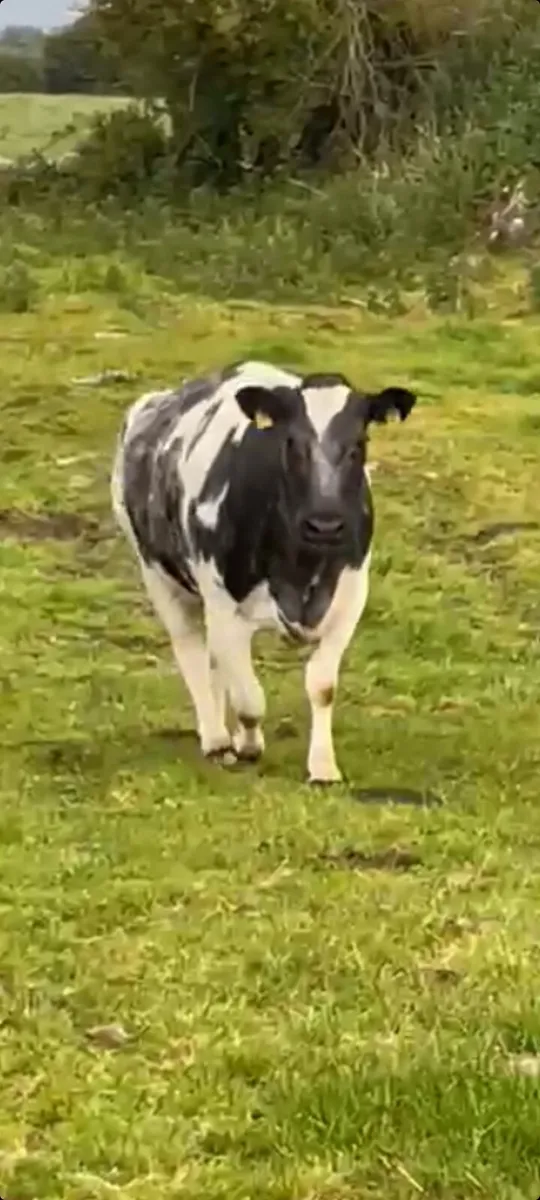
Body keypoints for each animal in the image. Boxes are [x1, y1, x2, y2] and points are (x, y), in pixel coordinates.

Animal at [111, 360, 416, 783]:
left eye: (359, 443)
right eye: (291, 443)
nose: (324, 524)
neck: (301, 568)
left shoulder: (352, 597)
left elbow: (322, 685)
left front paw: (323, 766)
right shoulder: (224, 604)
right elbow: (249, 698)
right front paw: (248, 745)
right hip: (159, 574)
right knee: (191, 650)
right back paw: (216, 739)